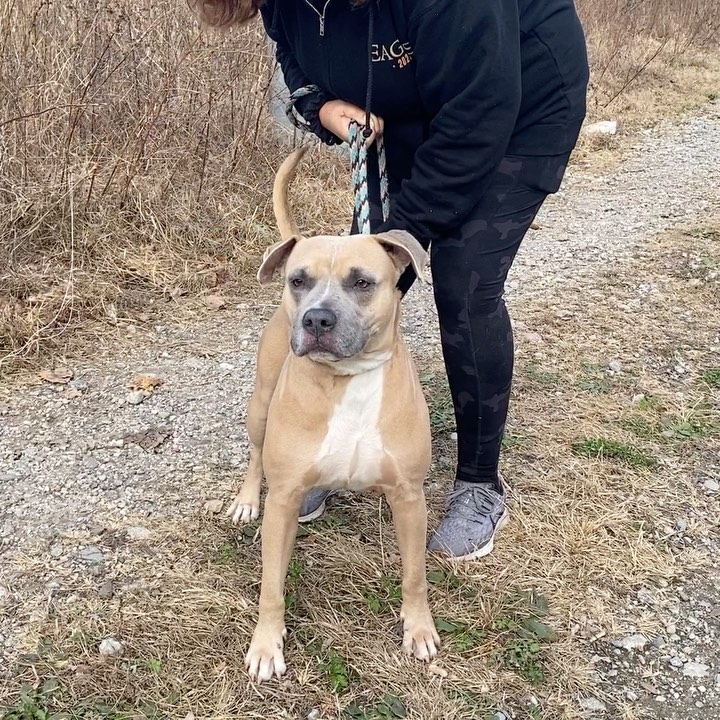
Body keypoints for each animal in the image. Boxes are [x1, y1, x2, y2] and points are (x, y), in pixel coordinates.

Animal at [228, 145, 436, 680]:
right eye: (298, 280)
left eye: (362, 282)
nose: (316, 319)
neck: (348, 379)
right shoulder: (282, 501)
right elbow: (271, 585)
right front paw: (266, 644)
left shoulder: (409, 498)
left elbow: (415, 574)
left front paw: (419, 628)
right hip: (259, 407)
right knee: (254, 454)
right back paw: (246, 499)